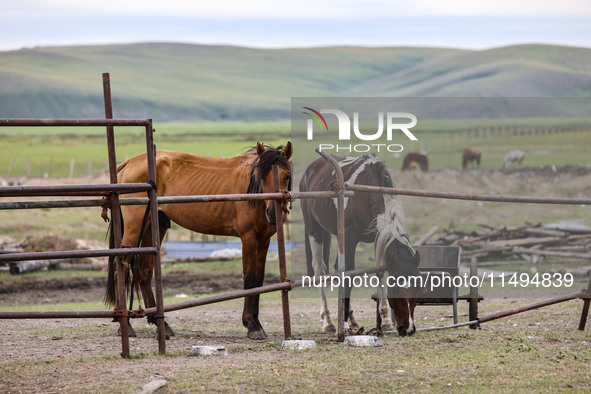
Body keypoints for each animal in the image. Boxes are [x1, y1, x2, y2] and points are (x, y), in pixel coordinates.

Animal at [106, 141, 294, 338]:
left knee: (144, 271)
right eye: (261, 177)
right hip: (134, 229)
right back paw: (126, 324)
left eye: (287, 176)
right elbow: (249, 279)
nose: (272, 213)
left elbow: (258, 279)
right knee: (121, 268)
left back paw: (161, 324)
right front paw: (251, 325)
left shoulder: (263, 240)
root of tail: (129, 163)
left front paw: (256, 323)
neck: (253, 193)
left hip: (153, 226)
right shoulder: (249, 238)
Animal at [300, 155, 420, 338]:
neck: (367, 194)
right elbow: (349, 274)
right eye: (395, 290)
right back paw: (328, 322)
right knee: (320, 269)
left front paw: (385, 320)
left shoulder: (380, 237)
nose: (408, 329)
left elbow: (380, 271)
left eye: (417, 289)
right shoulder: (349, 237)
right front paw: (341, 324)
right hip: (315, 230)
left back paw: (352, 321)